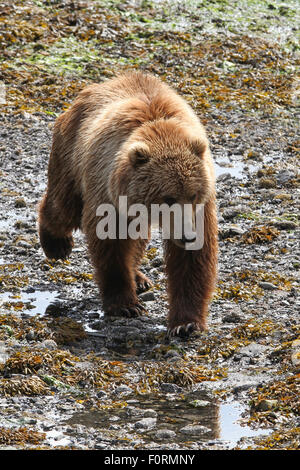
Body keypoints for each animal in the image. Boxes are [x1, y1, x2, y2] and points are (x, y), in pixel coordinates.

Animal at [39, 70, 218, 338]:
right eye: (168, 197)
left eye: (194, 195)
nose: (187, 235)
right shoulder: (107, 193)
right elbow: (111, 244)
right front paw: (126, 305)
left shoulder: (200, 208)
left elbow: (192, 260)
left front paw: (186, 323)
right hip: (72, 155)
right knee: (63, 205)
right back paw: (57, 244)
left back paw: (140, 277)